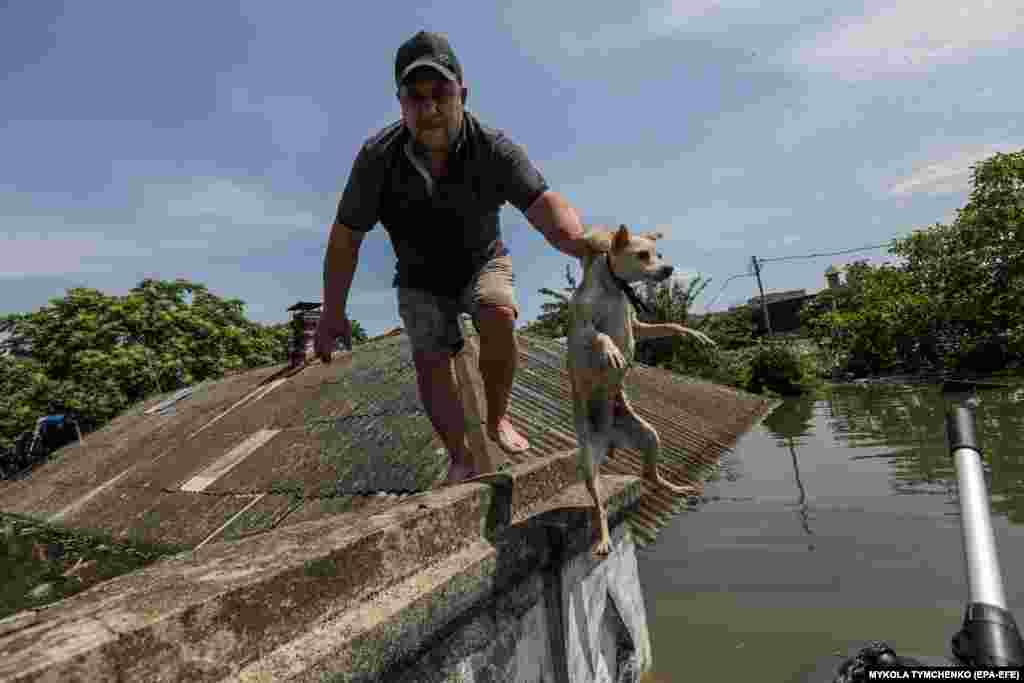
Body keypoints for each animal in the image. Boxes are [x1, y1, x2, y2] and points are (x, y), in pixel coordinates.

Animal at [565, 224, 716, 557]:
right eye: (643, 255)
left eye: (659, 254)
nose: (668, 268)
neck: (614, 288)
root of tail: (610, 439)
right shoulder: (581, 328)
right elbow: (599, 335)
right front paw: (611, 351)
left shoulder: (638, 325)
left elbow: (668, 326)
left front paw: (691, 333)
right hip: (589, 463)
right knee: (599, 508)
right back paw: (604, 538)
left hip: (649, 436)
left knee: (651, 475)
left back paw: (676, 487)